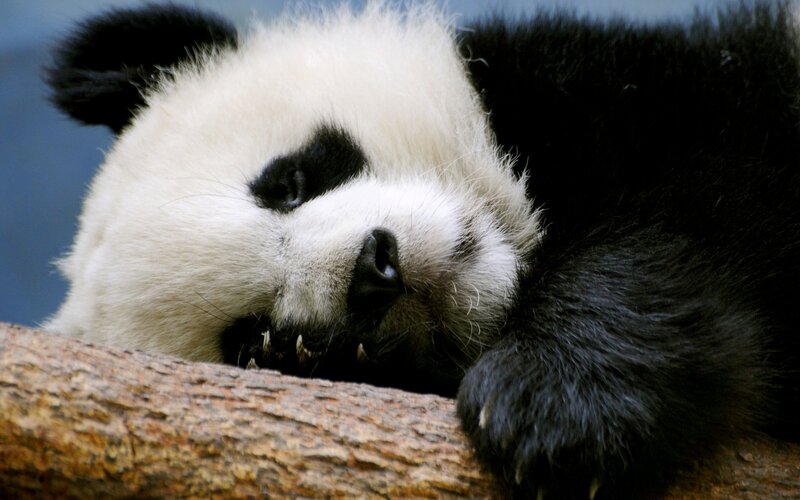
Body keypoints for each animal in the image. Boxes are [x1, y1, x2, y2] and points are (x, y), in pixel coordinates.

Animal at [44, 1, 800, 498]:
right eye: (258, 339)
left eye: (288, 181)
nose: (375, 270)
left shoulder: (634, 89)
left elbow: (692, 194)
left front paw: (552, 403)